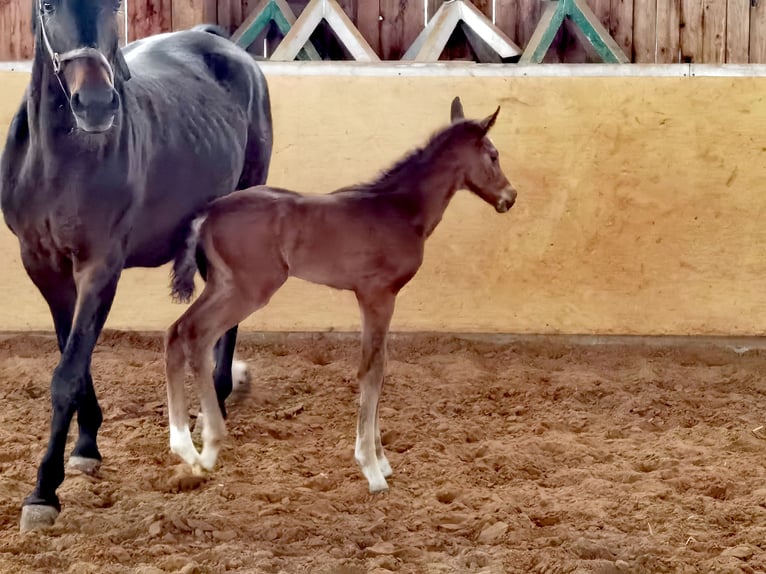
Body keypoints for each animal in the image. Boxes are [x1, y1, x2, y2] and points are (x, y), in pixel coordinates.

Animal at [0, 0, 272, 531]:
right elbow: (73, 359)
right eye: (47, 7)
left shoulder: (100, 267)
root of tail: (224, 46)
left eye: (114, 6)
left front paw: (43, 491)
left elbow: (66, 375)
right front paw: (86, 448)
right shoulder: (43, 267)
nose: (96, 104)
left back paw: (218, 400)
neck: (60, 160)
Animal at [164, 96, 517, 494]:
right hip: (248, 289)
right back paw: (206, 447)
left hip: (222, 285)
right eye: (493, 155)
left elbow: (377, 367)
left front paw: (381, 460)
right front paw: (372, 468)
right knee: (197, 335)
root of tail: (208, 213)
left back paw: (184, 445)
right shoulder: (378, 295)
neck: (400, 208)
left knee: (178, 332)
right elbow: (373, 370)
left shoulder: (372, 297)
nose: (510, 197)